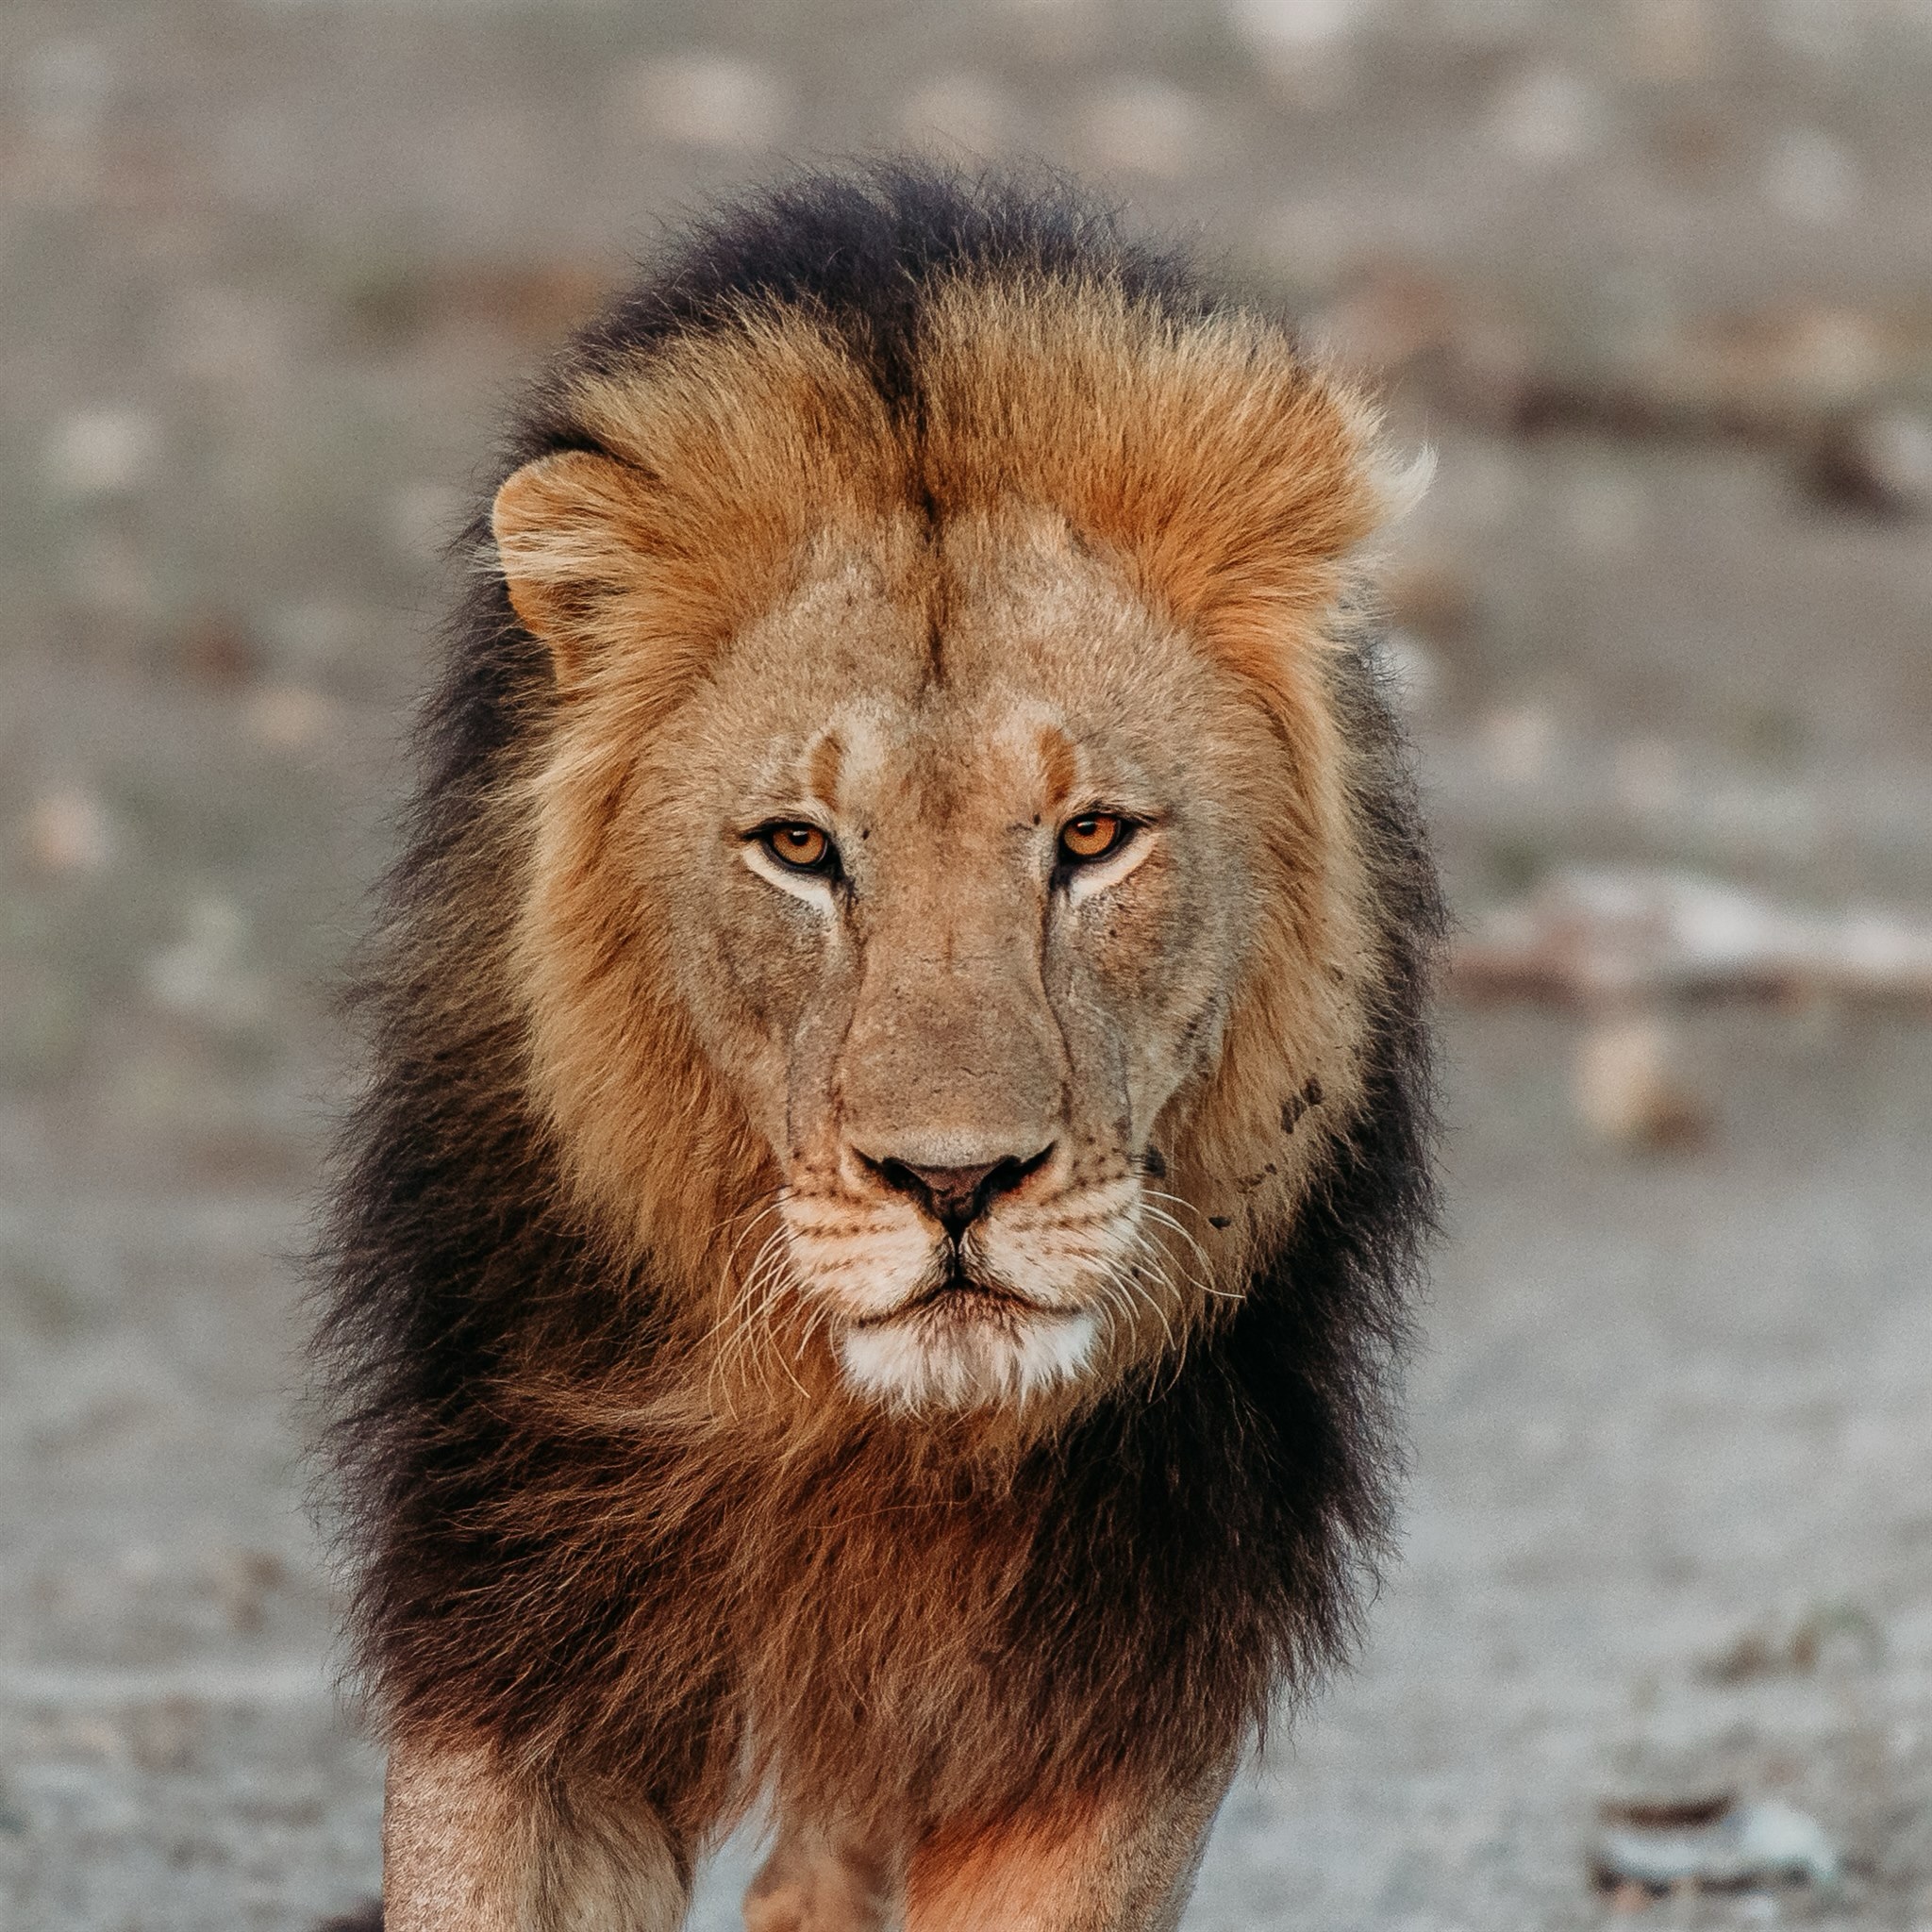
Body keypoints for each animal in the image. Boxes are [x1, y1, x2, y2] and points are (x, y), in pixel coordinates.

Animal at [314, 162, 1442, 1932]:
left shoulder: (1109, 1679)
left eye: (1092, 836)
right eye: (797, 846)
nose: (954, 1183)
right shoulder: (523, 1607)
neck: (865, 1438)